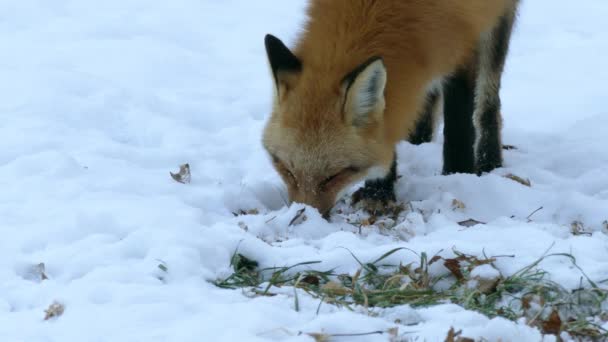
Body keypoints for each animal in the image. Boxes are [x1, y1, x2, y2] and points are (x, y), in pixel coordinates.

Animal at [262, 0, 516, 216]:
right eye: (286, 170)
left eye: (334, 176)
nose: (303, 215)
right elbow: (388, 125)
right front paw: (378, 192)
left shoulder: (467, 38)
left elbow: (458, 124)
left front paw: (458, 175)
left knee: (488, 101)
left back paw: (489, 160)